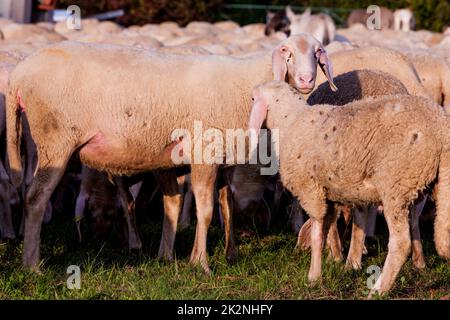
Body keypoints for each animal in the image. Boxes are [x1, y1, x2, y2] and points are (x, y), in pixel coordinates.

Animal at [7, 34, 338, 272]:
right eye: (287, 52)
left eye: (318, 52)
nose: (307, 81)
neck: (245, 81)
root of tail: (18, 74)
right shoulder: (205, 152)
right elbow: (205, 210)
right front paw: (201, 264)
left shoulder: (222, 159)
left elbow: (225, 205)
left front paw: (228, 255)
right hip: (54, 139)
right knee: (35, 199)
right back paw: (32, 265)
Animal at [250, 79, 450, 296]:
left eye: (252, 99)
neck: (290, 122)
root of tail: (440, 127)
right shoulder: (332, 195)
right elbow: (333, 229)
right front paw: (339, 261)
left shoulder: (311, 191)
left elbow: (317, 233)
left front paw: (314, 276)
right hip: (420, 184)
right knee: (415, 223)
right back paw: (419, 263)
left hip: (396, 185)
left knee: (400, 242)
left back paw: (378, 290)